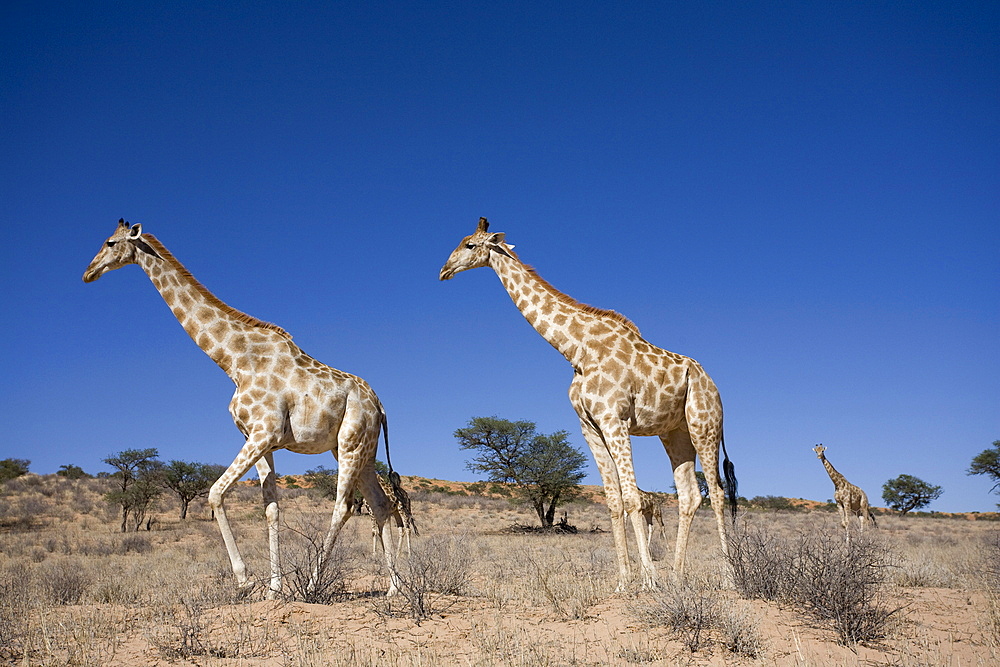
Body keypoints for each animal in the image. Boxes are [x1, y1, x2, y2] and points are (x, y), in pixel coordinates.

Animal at [84, 220, 406, 600]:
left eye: (110, 242)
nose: (88, 273)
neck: (233, 362)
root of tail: (381, 406)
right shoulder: (260, 439)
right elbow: (271, 509)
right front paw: (273, 589)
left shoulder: (263, 433)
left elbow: (215, 493)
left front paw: (245, 580)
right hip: (359, 449)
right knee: (380, 504)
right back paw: (394, 588)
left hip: (351, 442)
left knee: (344, 506)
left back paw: (315, 583)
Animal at [442, 219, 740, 588]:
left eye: (469, 244)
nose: (444, 270)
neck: (575, 348)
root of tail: (713, 384)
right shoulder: (589, 425)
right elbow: (613, 500)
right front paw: (624, 580)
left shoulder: (615, 419)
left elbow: (632, 498)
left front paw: (648, 579)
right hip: (674, 432)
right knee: (689, 495)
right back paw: (677, 577)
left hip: (705, 424)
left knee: (717, 493)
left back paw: (728, 578)